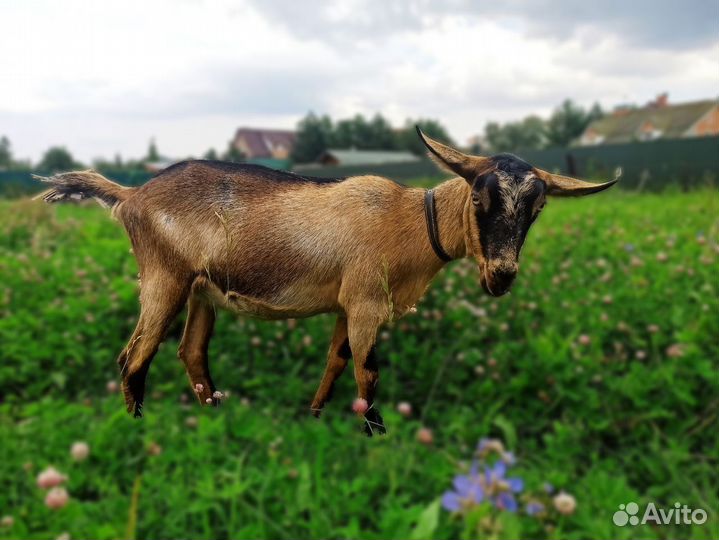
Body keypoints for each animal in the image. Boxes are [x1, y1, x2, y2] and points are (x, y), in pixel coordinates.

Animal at [35, 129, 620, 436]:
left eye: (538, 209)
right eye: (479, 196)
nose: (501, 276)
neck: (412, 221)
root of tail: (130, 195)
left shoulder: (348, 304)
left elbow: (337, 363)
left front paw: (315, 418)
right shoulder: (365, 304)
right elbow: (368, 373)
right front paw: (376, 439)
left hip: (202, 289)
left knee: (191, 352)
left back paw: (215, 418)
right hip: (164, 277)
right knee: (135, 357)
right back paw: (140, 432)